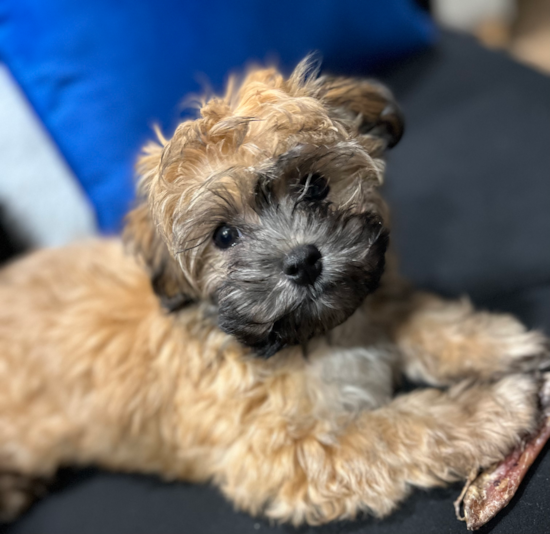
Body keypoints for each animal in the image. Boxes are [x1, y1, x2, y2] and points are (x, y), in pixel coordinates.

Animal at [1, 59, 550, 528]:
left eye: (314, 185)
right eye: (224, 236)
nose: (303, 261)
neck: (307, 338)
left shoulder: (371, 301)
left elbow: (419, 319)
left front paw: (495, 341)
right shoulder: (282, 454)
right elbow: (391, 430)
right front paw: (489, 412)